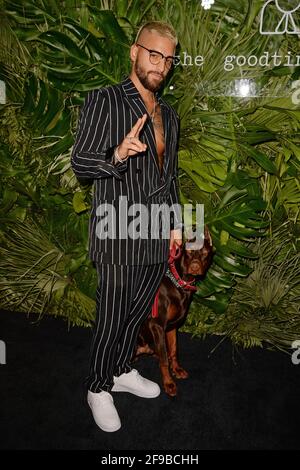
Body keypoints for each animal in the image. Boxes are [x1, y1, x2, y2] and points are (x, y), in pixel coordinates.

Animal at [136, 228, 213, 396]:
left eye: (205, 252)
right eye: (189, 252)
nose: (195, 267)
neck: (178, 283)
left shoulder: (171, 327)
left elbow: (173, 350)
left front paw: (176, 369)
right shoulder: (157, 326)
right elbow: (165, 359)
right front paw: (169, 383)